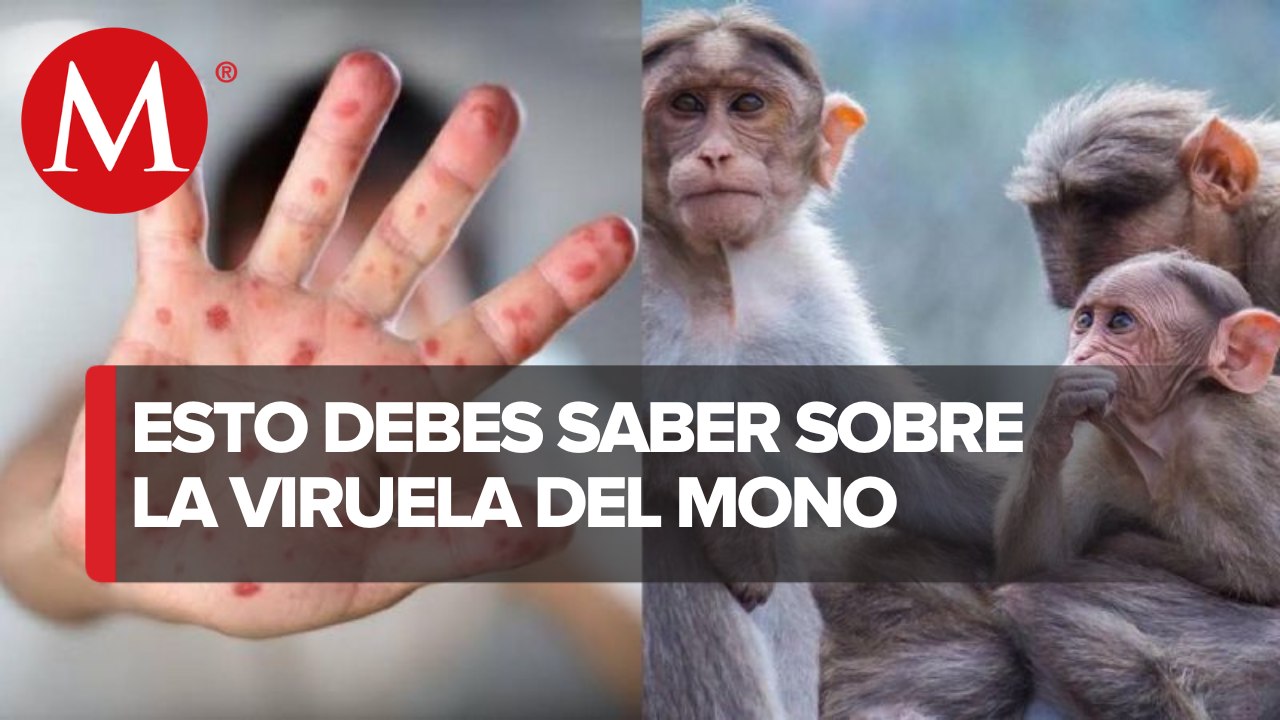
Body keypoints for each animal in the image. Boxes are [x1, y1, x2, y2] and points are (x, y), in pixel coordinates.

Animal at [640, 6, 1023, 719]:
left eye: (748, 104)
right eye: (684, 105)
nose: (714, 153)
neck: (716, 280)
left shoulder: (806, 286)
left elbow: (913, 473)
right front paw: (725, 489)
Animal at [994, 251, 1280, 718]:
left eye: (1120, 322)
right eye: (1085, 320)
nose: (1082, 353)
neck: (1167, 428)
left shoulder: (1229, 451)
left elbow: (1258, 580)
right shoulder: (1099, 451)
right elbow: (1035, 560)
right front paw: (1057, 407)